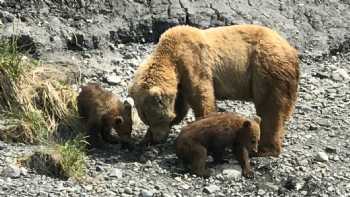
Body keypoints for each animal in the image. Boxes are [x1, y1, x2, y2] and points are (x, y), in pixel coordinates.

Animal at [130, 23, 300, 156]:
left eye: (157, 118)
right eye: (146, 119)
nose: (157, 139)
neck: (172, 53)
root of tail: (292, 50)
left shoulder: (194, 62)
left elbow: (202, 98)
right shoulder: (180, 83)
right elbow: (180, 107)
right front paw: (145, 139)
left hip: (267, 68)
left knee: (271, 108)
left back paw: (266, 149)